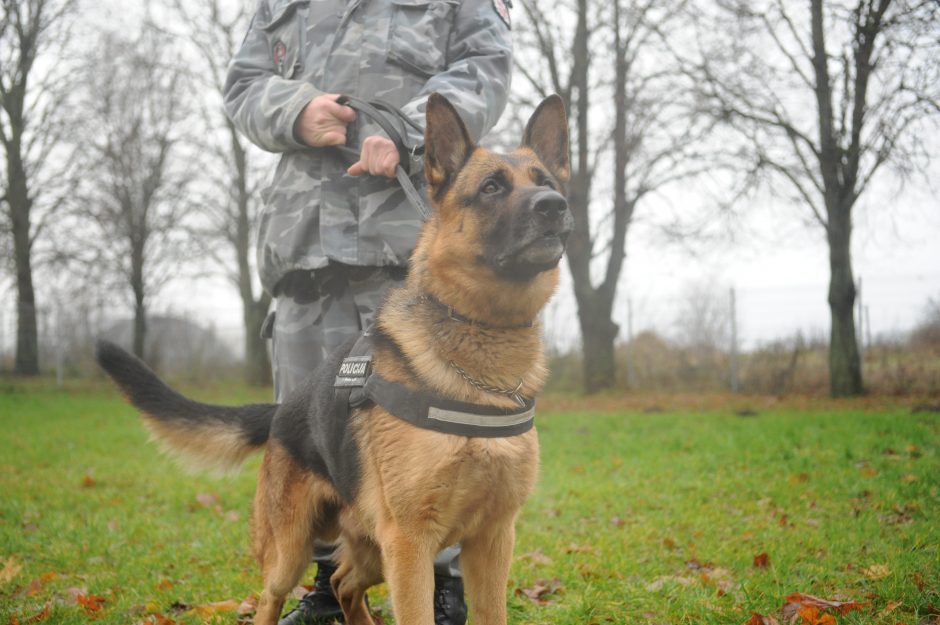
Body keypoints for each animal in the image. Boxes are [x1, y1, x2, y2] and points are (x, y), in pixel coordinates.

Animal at [95, 94, 572, 624]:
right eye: (491, 188)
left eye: (547, 183)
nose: (554, 206)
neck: (481, 345)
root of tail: (282, 410)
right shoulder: (411, 542)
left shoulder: (491, 541)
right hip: (295, 548)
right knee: (274, 595)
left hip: (374, 548)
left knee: (344, 583)